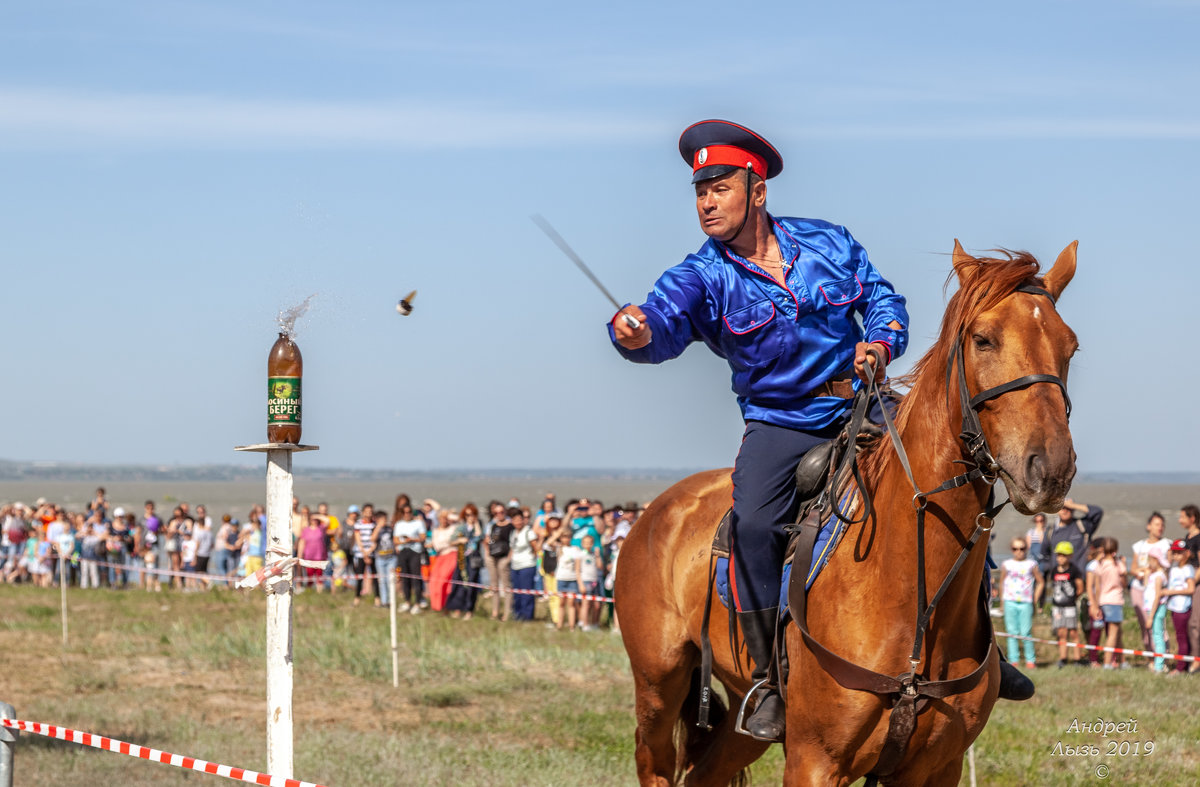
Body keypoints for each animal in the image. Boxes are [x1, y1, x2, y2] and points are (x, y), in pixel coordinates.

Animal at [619, 241, 1080, 787]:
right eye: (983, 340)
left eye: (1070, 347)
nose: (1049, 470)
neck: (909, 596)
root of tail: (659, 510)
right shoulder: (815, 761)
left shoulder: (936, 767)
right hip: (658, 687)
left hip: (737, 727)